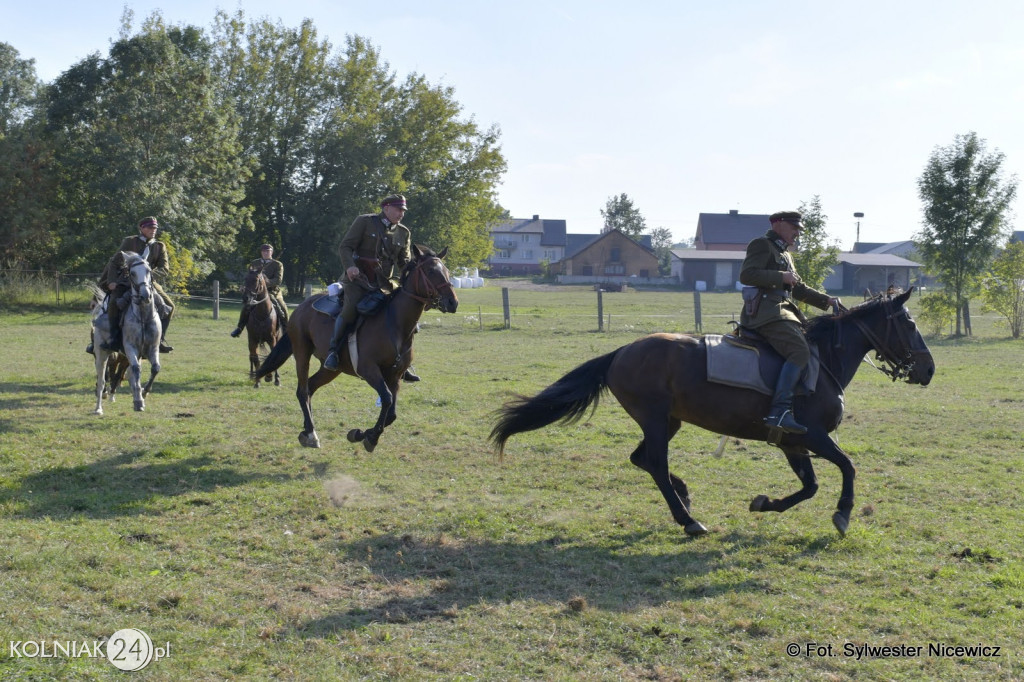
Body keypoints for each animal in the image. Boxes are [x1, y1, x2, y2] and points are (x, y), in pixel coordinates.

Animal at [91, 249, 161, 409]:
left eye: (148, 270)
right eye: (132, 273)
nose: (145, 295)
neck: (142, 318)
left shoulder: (152, 348)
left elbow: (155, 368)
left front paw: (144, 393)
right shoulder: (130, 348)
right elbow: (135, 369)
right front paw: (138, 400)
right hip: (101, 352)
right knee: (102, 380)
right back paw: (98, 408)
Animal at [253, 241, 458, 448]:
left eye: (447, 271)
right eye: (430, 271)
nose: (452, 302)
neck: (395, 324)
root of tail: (301, 308)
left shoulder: (395, 376)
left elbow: (391, 412)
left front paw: (363, 434)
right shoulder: (369, 370)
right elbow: (386, 399)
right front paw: (369, 437)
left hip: (331, 369)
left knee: (310, 387)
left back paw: (306, 428)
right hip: (302, 355)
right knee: (303, 391)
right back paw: (311, 433)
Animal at [489, 286, 937, 536]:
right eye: (910, 324)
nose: (929, 369)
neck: (823, 358)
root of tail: (622, 351)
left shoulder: (792, 443)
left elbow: (809, 486)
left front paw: (764, 503)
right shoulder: (812, 435)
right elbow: (847, 467)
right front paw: (843, 514)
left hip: (668, 421)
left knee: (642, 460)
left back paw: (685, 499)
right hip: (656, 420)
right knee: (654, 462)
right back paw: (687, 519)